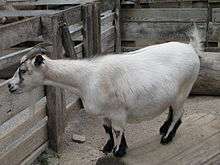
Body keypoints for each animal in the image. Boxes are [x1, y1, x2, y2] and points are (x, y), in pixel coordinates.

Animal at [7, 27, 203, 157]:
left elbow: (117, 131)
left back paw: (167, 137)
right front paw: (109, 148)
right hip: (173, 94)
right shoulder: (105, 113)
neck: (86, 78)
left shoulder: (118, 113)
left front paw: (118, 151)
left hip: (184, 90)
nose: (9, 86)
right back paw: (163, 129)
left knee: (179, 113)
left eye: (23, 70)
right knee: (171, 110)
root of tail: (191, 48)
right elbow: (107, 130)